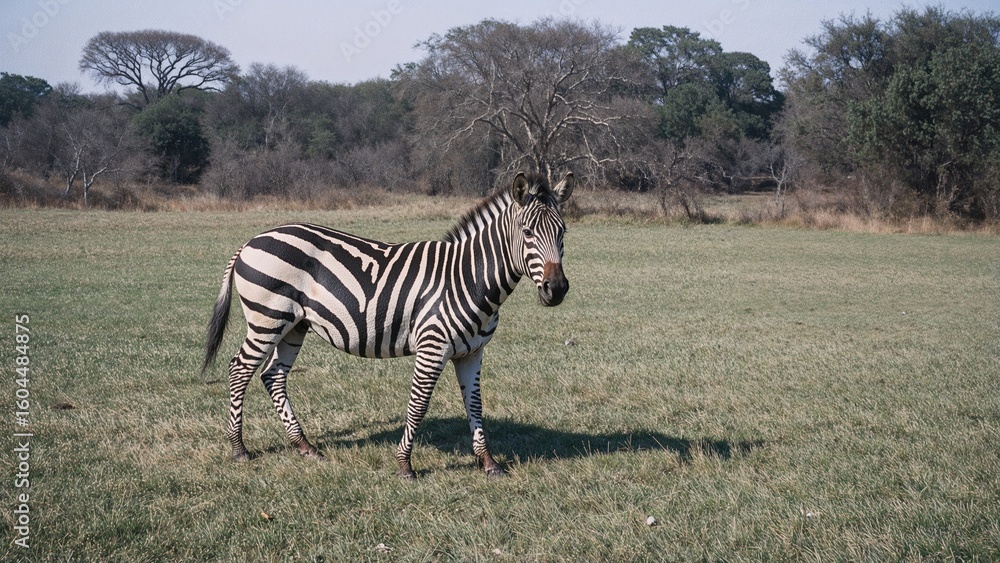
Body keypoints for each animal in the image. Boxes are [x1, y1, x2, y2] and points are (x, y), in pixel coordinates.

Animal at [200, 171, 574, 478]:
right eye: (527, 232)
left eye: (562, 232)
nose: (556, 289)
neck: (468, 278)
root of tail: (252, 240)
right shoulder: (432, 348)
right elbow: (418, 404)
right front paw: (404, 465)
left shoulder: (472, 353)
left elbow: (475, 405)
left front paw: (488, 463)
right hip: (267, 318)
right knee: (239, 370)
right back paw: (239, 449)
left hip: (294, 325)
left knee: (273, 376)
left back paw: (304, 446)